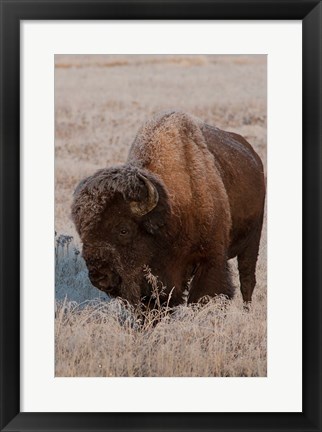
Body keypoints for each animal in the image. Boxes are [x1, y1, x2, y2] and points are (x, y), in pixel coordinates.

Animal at [71, 111, 266, 308]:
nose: (99, 276)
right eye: (83, 233)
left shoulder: (210, 258)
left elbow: (202, 295)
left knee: (247, 280)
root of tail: (254, 157)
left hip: (252, 241)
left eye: (123, 230)